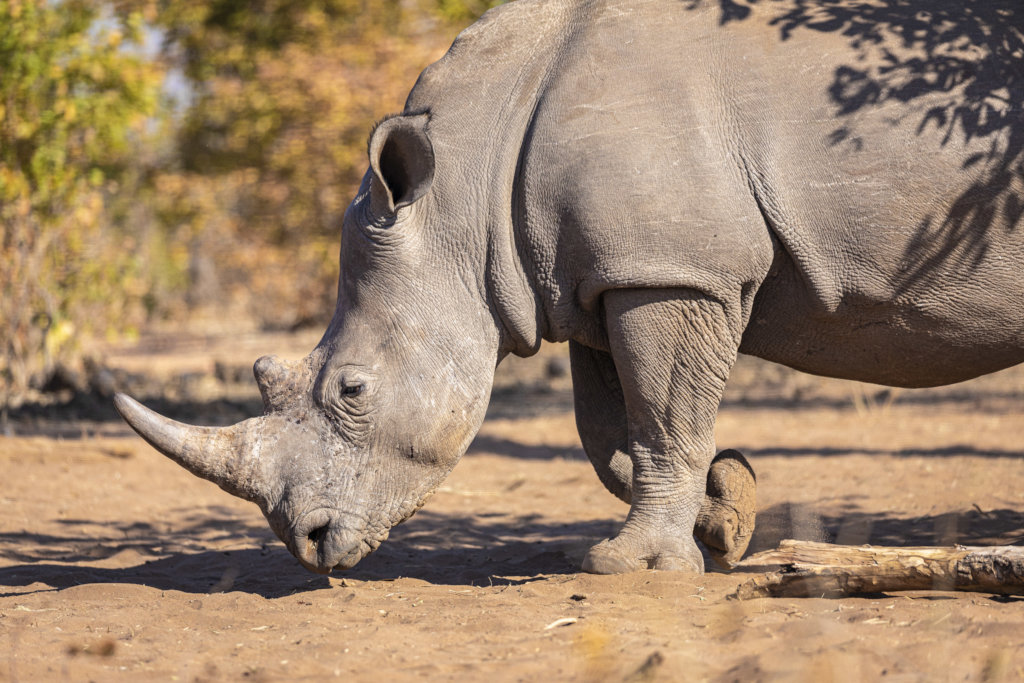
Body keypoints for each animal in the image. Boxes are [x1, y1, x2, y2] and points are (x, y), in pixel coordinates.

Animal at [115, 0, 1024, 575]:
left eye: (352, 389)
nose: (308, 544)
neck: (464, 184)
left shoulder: (669, 270)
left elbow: (662, 418)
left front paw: (632, 566)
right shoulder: (603, 279)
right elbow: (612, 434)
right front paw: (729, 511)